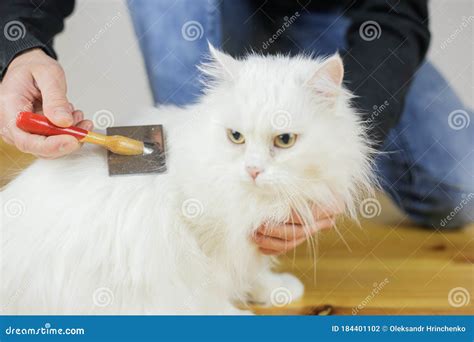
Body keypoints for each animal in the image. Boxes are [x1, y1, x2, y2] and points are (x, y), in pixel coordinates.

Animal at [1, 46, 376, 314]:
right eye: (236, 137)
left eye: (284, 141)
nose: (253, 170)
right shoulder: (199, 242)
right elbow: (209, 291)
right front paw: (234, 314)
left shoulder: (250, 237)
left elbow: (253, 271)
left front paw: (274, 290)